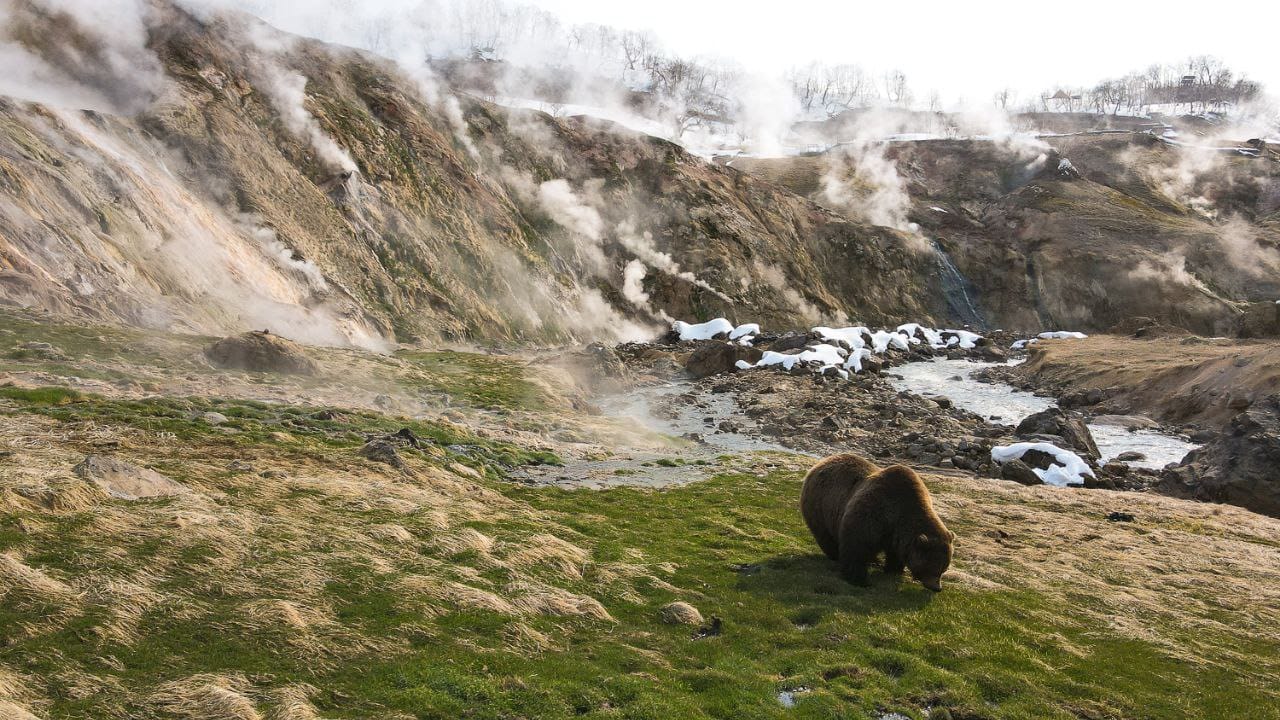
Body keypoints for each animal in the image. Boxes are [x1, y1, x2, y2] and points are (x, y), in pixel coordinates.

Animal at [798, 453, 952, 589]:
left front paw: (894, 569)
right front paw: (859, 578)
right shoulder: (874, 513)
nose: (937, 587)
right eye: (933, 568)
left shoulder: (895, 535)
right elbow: (856, 545)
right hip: (820, 505)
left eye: (944, 568)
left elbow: (895, 553)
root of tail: (821, 463)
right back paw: (836, 555)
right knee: (825, 536)